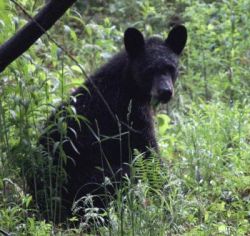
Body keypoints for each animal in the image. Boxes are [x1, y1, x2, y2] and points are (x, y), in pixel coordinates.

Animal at [30, 24, 188, 222]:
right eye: (149, 70)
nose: (165, 91)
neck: (129, 85)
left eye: (171, 68)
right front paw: (170, 206)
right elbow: (151, 158)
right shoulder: (131, 118)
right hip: (90, 178)